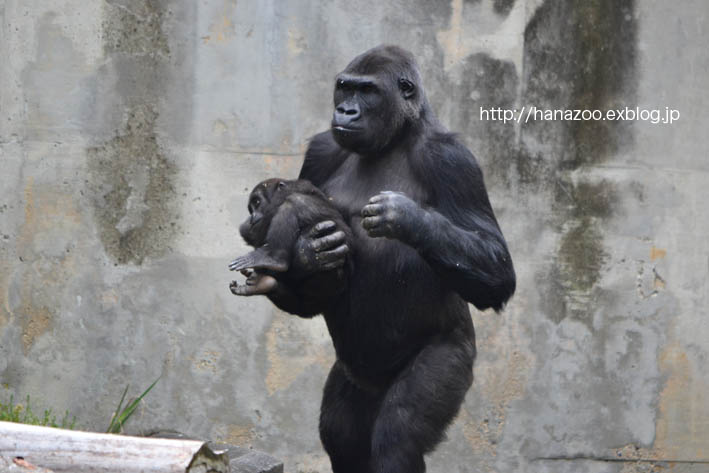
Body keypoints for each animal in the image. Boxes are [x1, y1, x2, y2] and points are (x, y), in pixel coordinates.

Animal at [262, 45, 512, 472]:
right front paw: (313, 254)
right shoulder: (320, 150)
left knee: (398, 436)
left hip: (452, 355)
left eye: (368, 91)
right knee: (342, 435)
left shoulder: (454, 159)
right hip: (352, 379)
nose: (346, 110)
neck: (395, 137)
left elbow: (497, 270)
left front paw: (408, 219)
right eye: (344, 87)